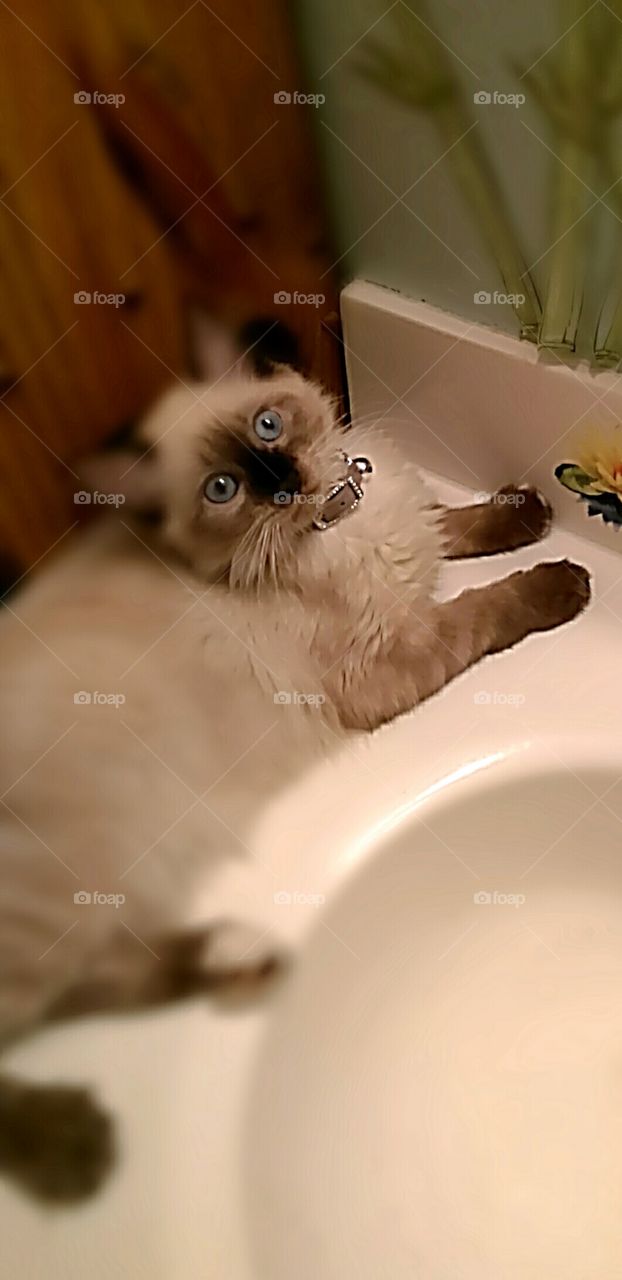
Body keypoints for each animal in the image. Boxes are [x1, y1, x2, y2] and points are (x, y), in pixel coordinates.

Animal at [0, 332, 591, 1198]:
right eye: (222, 489)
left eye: (268, 426)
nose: (279, 478)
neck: (335, 523)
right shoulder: (388, 664)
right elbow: (487, 607)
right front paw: (563, 583)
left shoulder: (402, 526)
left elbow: (455, 522)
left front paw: (526, 512)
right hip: (53, 897)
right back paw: (75, 1148)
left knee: (108, 979)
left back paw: (241, 964)